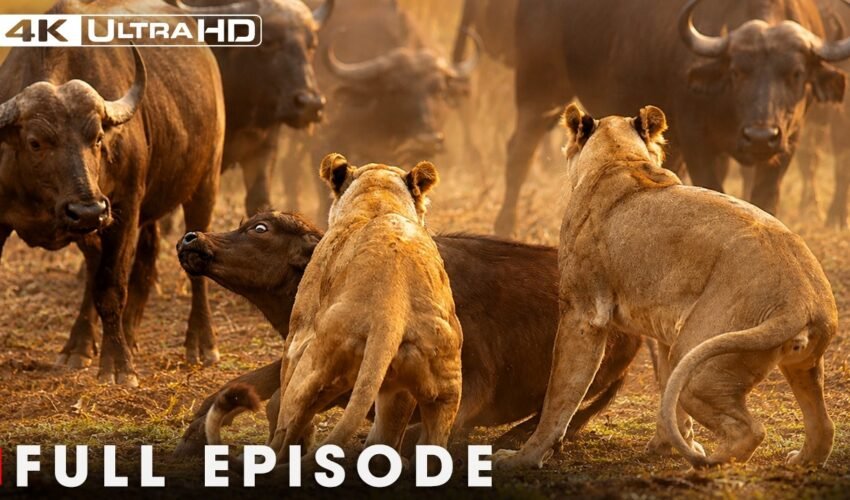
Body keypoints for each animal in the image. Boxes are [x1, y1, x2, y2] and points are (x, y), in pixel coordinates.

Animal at [268, 154, 463, 463]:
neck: (379, 200)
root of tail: (391, 306)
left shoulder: (298, 333)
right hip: (441, 385)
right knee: (413, 442)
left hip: (315, 367)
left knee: (287, 427)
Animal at [494, 104, 837, 470]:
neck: (620, 159)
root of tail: (801, 301)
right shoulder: (663, 326)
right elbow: (664, 387)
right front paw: (667, 443)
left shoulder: (583, 314)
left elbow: (560, 394)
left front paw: (523, 457)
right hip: (797, 364)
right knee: (823, 427)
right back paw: (798, 461)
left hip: (698, 359)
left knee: (751, 430)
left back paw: (707, 463)